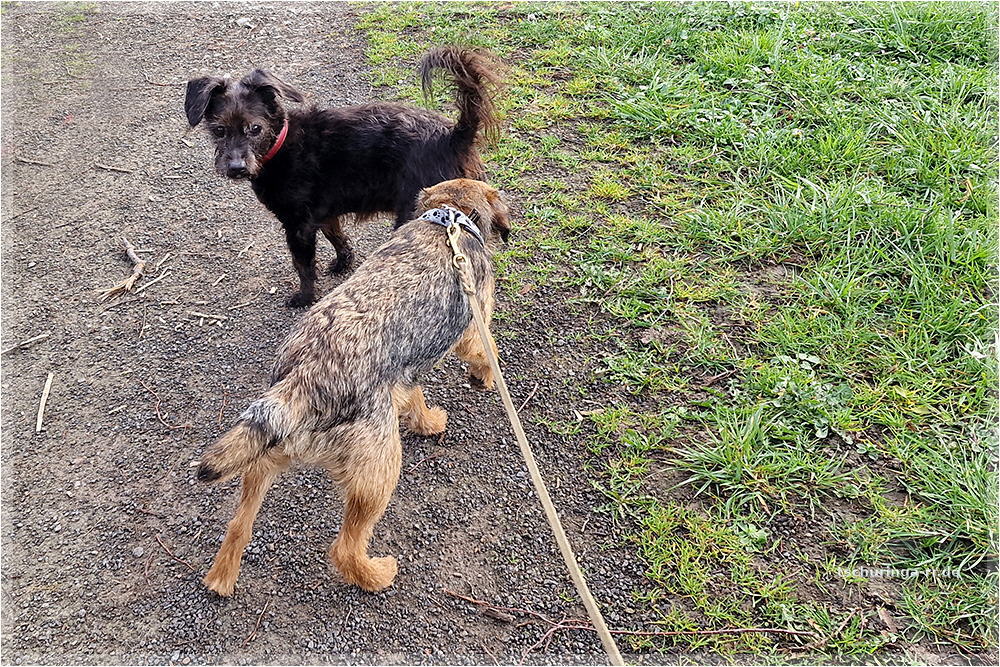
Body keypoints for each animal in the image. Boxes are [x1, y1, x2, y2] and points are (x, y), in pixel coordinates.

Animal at [184, 47, 501, 307]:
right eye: (219, 130)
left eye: (255, 128)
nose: (236, 167)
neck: (281, 144)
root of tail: (454, 136)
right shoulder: (324, 213)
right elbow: (337, 237)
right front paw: (343, 263)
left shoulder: (298, 226)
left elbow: (303, 265)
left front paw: (305, 298)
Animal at [197, 178, 510, 596]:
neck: (450, 217)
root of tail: (305, 379)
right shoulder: (472, 329)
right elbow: (484, 352)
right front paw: (485, 377)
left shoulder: (401, 375)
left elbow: (415, 399)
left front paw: (428, 422)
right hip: (378, 471)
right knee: (344, 547)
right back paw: (376, 574)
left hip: (264, 453)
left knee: (238, 524)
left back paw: (221, 577)